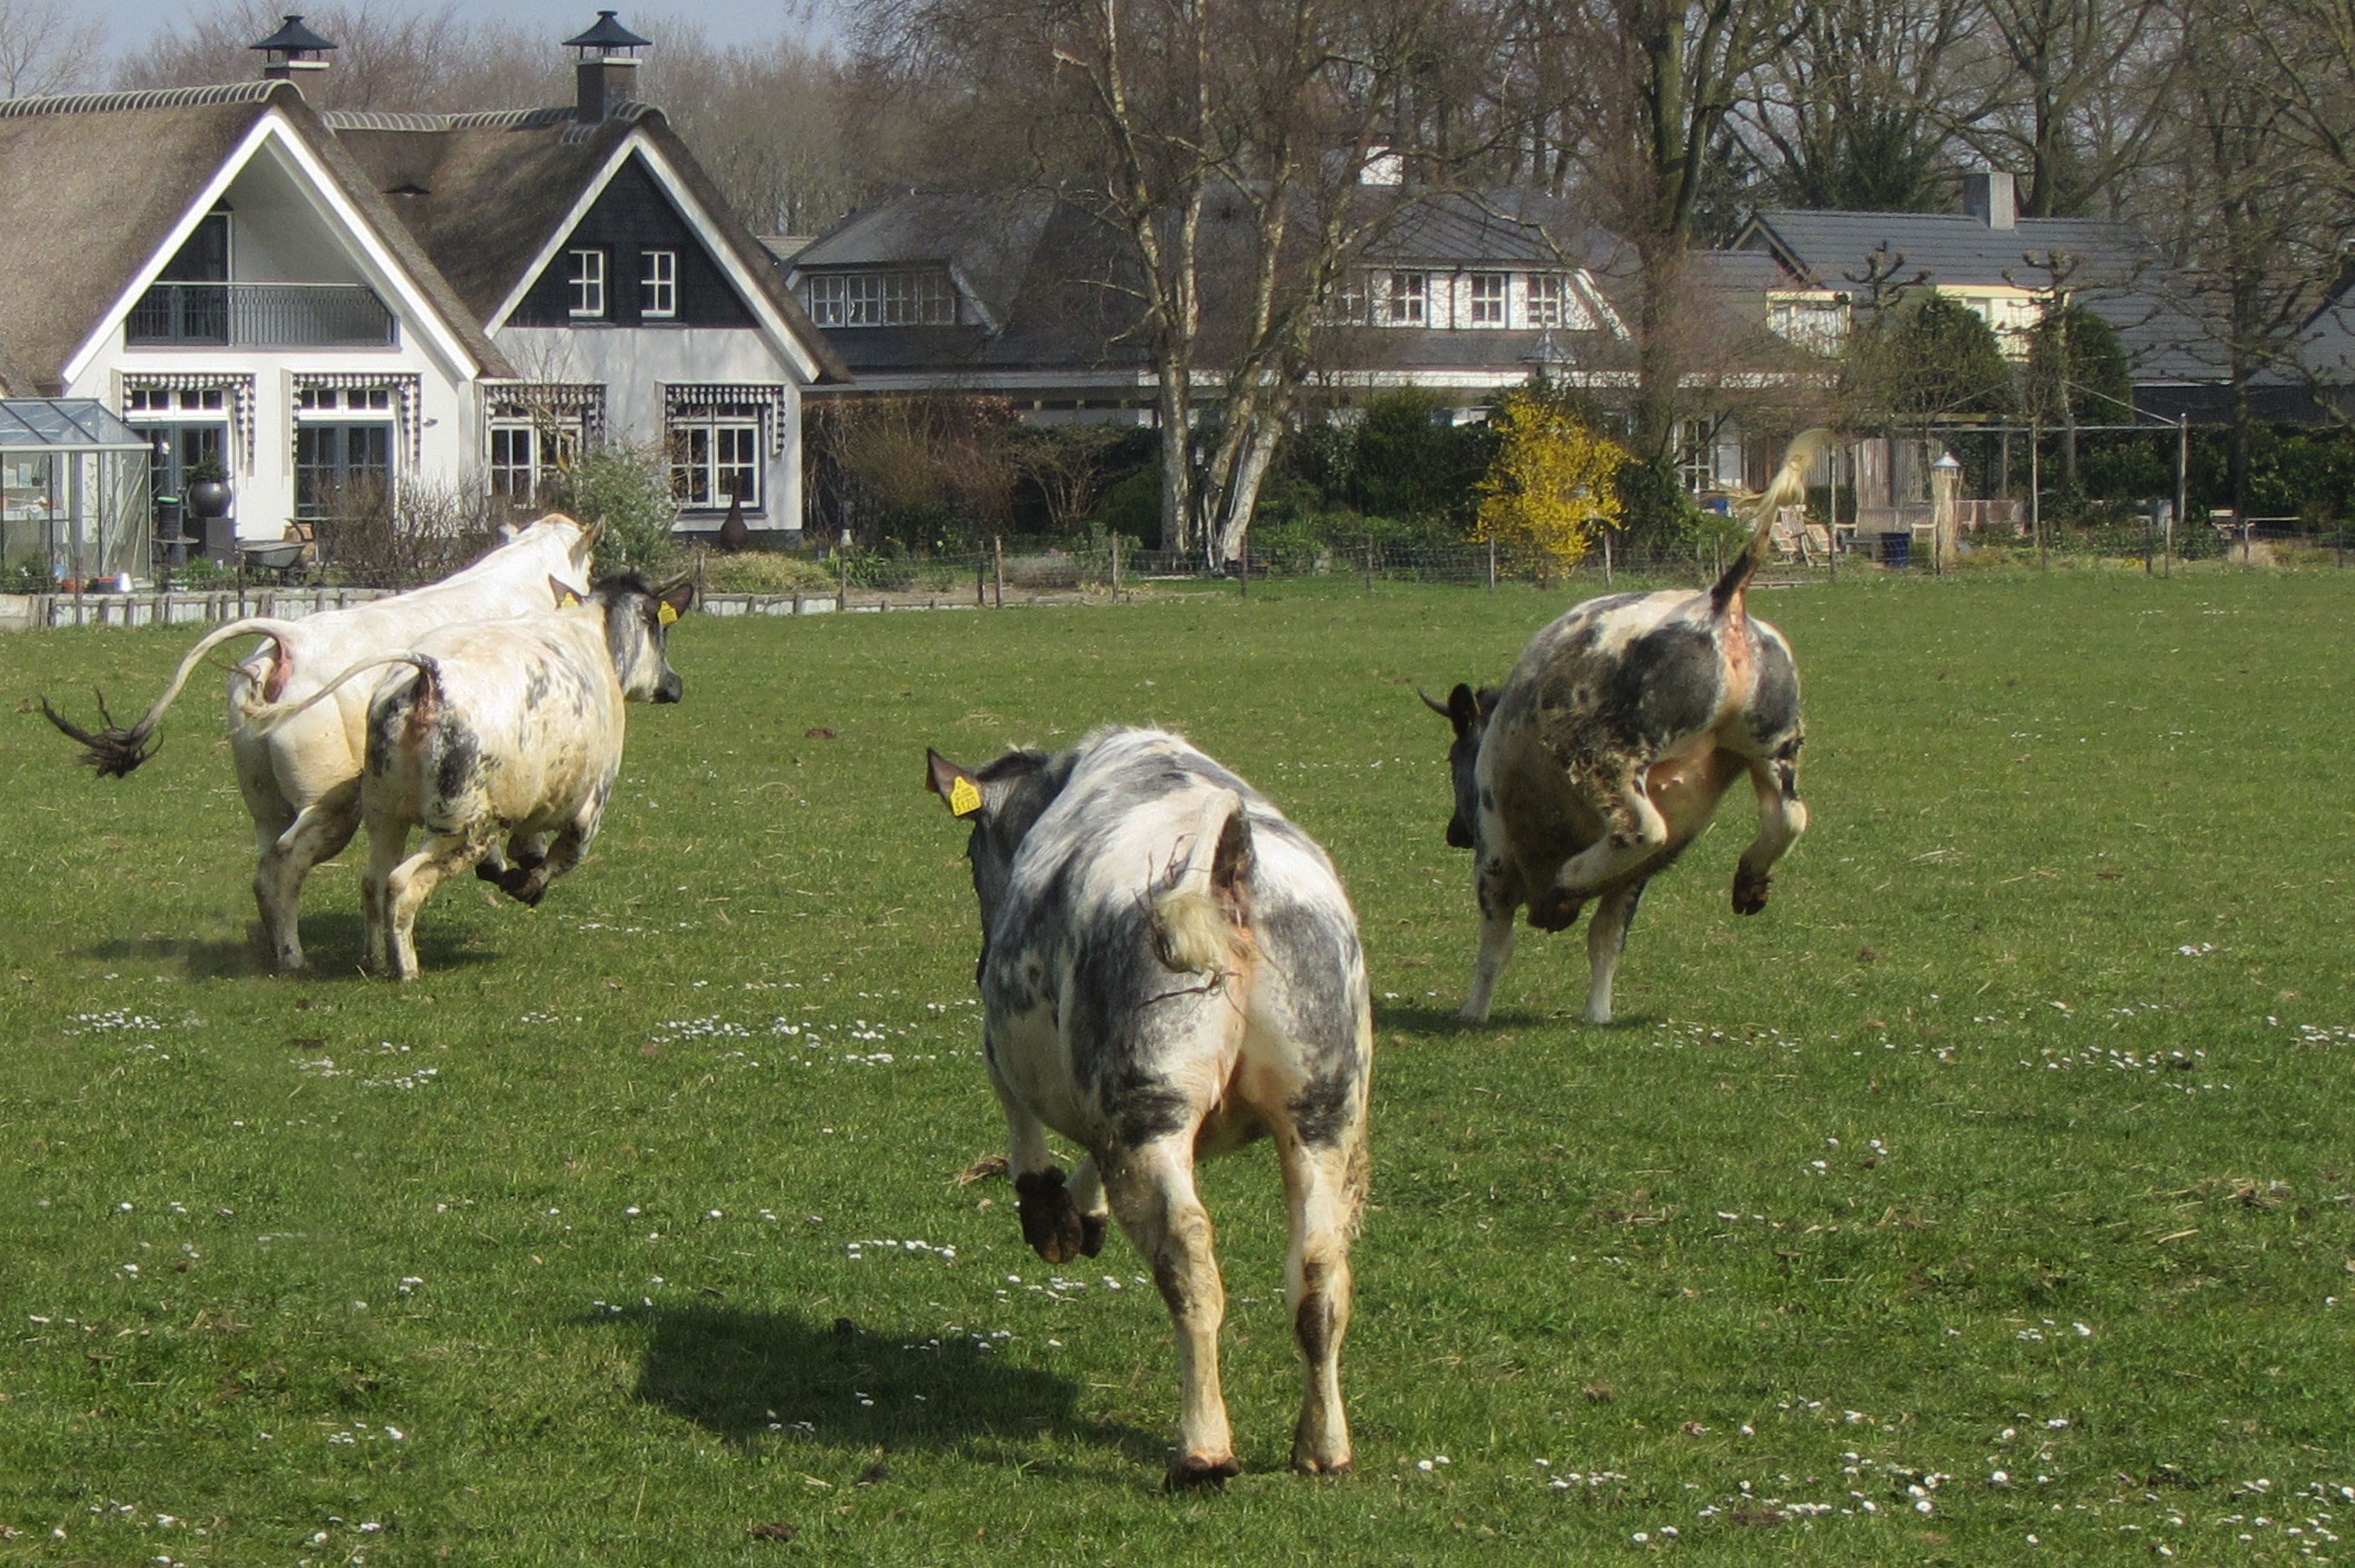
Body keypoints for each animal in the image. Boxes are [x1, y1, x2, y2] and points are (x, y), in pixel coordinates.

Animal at [41, 516, 594, 971]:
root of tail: (290, 639)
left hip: (264, 799)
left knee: (265, 867)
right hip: (331, 803)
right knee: (287, 863)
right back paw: (294, 958)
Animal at [261, 572, 693, 980]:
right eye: (662, 630)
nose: (675, 685)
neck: (597, 636)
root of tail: (428, 677)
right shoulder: (590, 805)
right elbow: (563, 857)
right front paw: (527, 887)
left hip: (383, 811)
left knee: (366, 879)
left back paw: (364, 959)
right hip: (463, 826)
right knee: (402, 882)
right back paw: (406, 969)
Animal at [925, 728, 1372, 1488]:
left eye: (970, 854)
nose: (982, 959)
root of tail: (1232, 865)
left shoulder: (1008, 1042)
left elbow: (1022, 1120)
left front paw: (1050, 1211)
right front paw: (1081, 1213)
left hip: (1148, 1104)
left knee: (1187, 1259)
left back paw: (1203, 1451)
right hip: (1319, 1111)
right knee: (1318, 1274)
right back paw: (1323, 1447)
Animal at [1426, 432, 1825, 1025]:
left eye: (1453, 761)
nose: (1454, 832)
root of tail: (1720, 604)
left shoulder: (1493, 858)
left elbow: (1496, 947)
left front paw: (1472, 1012)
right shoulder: (1632, 883)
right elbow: (1607, 941)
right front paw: (1598, 1015)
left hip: (1606, 756)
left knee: (1643, 828)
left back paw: (1568, 881)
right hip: (1773, 746)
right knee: (1787, 817)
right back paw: (1750, 881)